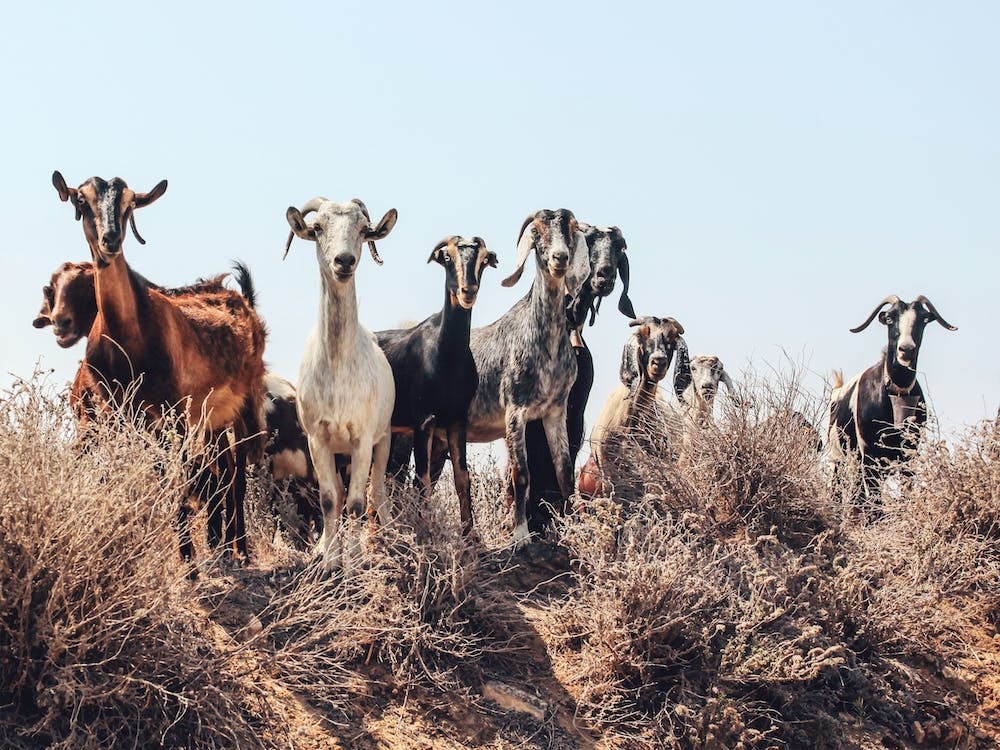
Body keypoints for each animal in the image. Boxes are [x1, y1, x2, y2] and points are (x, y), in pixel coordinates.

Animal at [51, 171, 267, 565]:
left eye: (129, 204)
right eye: (81, 201)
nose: (110, 239)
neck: (129, 336)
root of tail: (239, 297)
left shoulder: (174, 412)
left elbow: (177, 480)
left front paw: (188, 563)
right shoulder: (121, 414)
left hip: (243, 405)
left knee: (237, 473)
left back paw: (240, 550)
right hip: (210, 418)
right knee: (224, 469)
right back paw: (222, 547)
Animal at [284, 196, 397, 570]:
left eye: (362, 229)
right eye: (318, 227)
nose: (344, 261)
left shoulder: (362, 438)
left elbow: (358, 503)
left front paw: (355, 561)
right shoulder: (317, 439)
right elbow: (330, 499)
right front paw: (331, 560)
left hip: (383, 438)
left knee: (376, 492)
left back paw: (384, 541)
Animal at [376, 236, 497, 534]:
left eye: (483, 260)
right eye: (447, 258)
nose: (468, 290)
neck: (447, 356)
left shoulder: (456, 422)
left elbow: (462, 477)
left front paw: (470, 536)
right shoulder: (424, 421)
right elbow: (422, 479)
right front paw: (425, 529)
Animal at [828, 294, 957, 498]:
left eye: (923, 319)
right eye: (889, 318)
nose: (906, 349)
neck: (896, 392)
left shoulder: (909, 454)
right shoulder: (869, 455)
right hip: (839, 461)